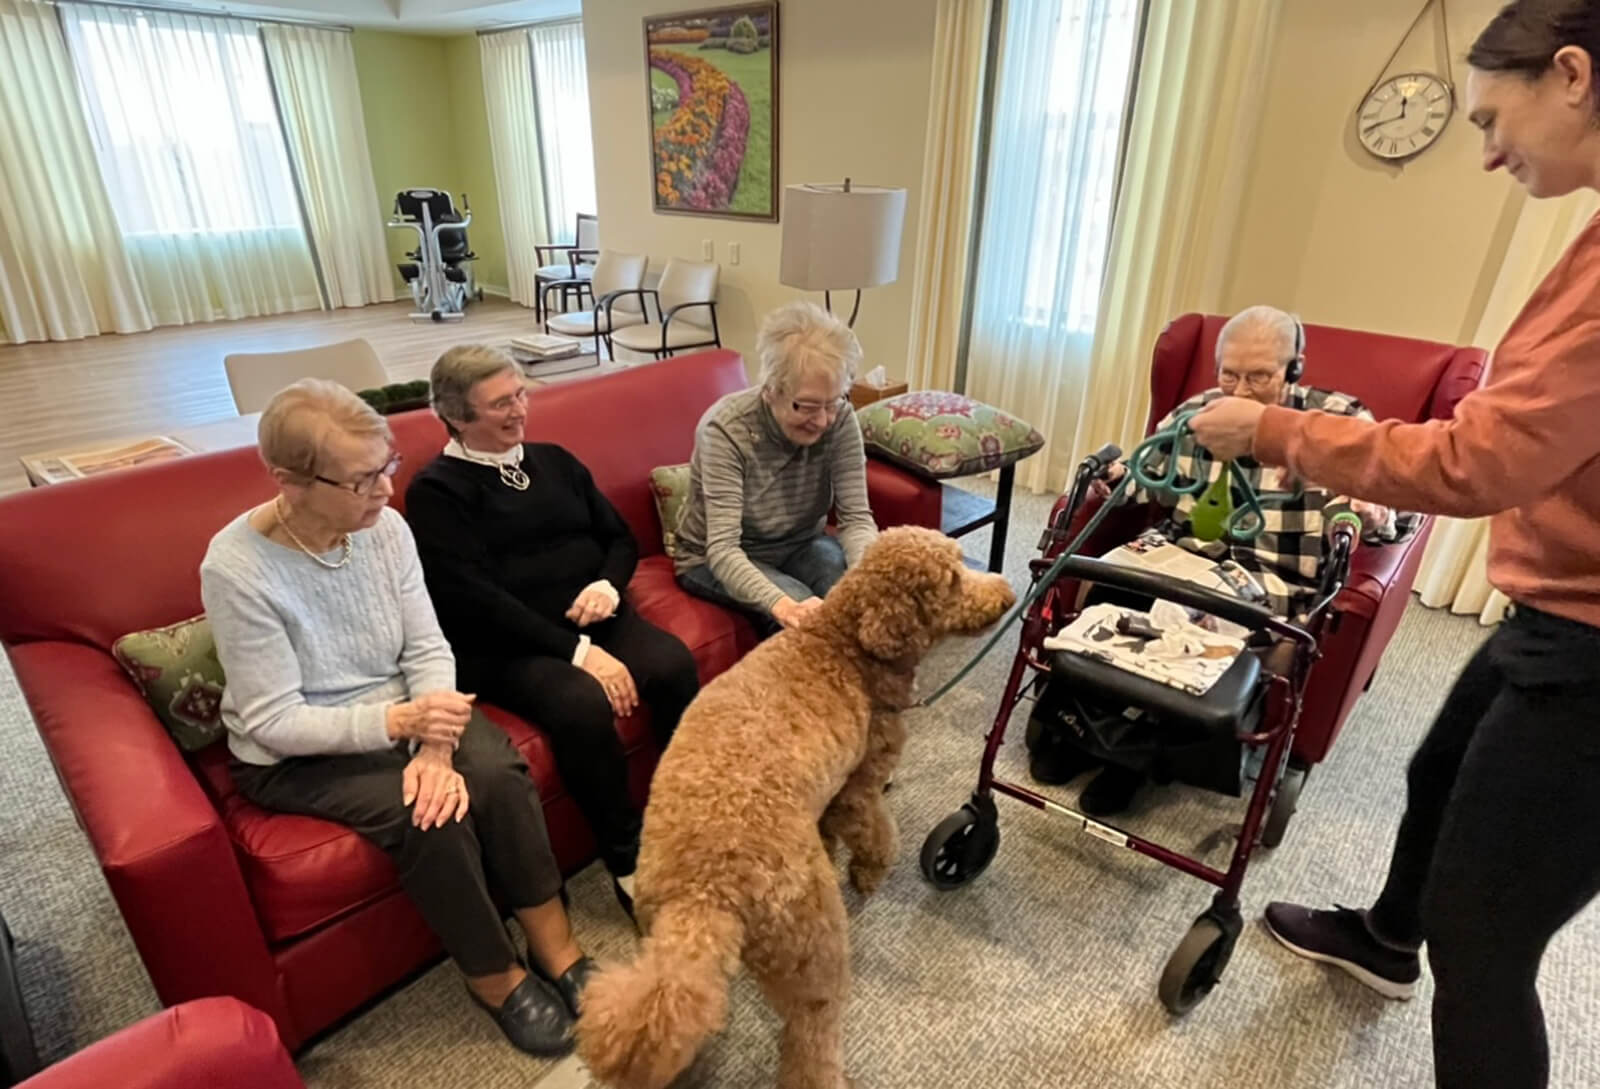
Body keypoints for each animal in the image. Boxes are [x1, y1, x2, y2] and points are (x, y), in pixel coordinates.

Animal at [582, 521, 1017, 1081]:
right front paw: (867, 874)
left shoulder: (829, 796)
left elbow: (833, 833)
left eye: (962, 565)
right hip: (814, 948)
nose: (1006, 593)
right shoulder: (857, 786)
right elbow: (877, 832)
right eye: (952, 579)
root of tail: (703, 894)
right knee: (812, 1032)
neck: (842, 644)